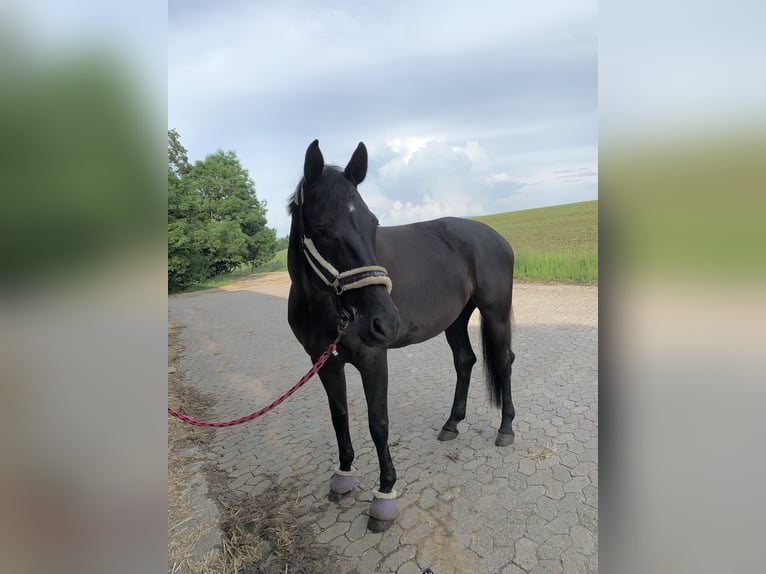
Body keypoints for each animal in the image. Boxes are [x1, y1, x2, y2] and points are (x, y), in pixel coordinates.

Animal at [287, 140, 516, 531]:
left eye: (373, 224)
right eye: (321, 229)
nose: (385, 322)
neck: (321, 304)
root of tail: (494, 237)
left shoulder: (373, 359)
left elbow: (378, 424)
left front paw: (384, 495)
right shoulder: (324, 363)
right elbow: (339, 417)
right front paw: (343, 475)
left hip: (496, 314)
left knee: (502, 362)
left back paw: (506, 428)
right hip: (456, 320)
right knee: (465, 361)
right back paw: (452, 423)